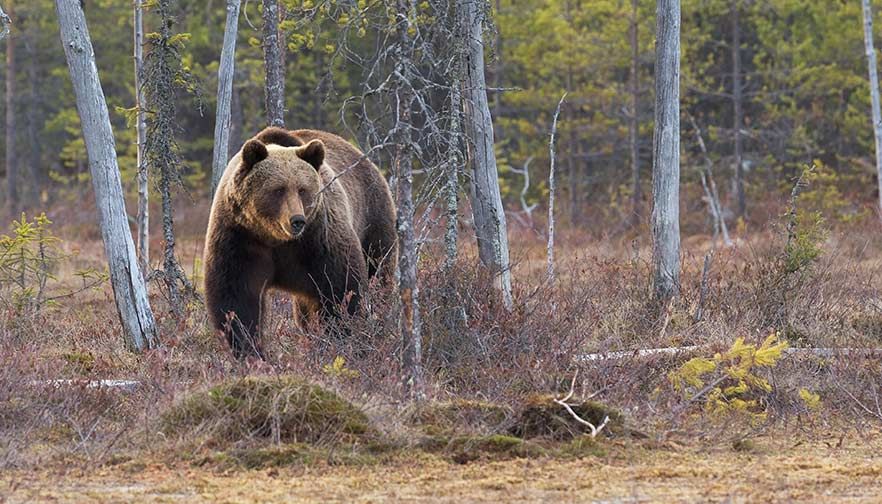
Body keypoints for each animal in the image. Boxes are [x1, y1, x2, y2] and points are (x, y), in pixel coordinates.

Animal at [204, 127, 397, 359]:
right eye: (278, 189)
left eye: (303, 189)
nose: (297, 220)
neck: (276, 238)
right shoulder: (239, 237)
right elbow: (237, 297)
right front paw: (250, 351)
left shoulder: (319, 238)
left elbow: (341, 289)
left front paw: (340, 340)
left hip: (372, 219)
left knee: (378, 273)